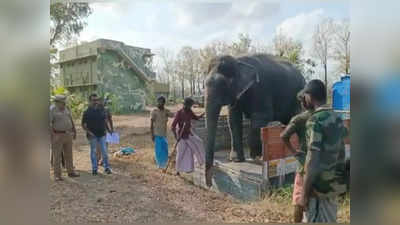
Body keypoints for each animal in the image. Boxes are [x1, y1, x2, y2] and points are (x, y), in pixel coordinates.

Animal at [205, 54, 304, 186]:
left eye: (224, 85)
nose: (209, 184)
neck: (239, 61)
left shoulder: (261, 88)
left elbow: (261, 116)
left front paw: (256, 157)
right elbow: (233, 119)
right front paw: (236, 160)